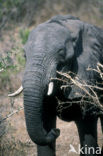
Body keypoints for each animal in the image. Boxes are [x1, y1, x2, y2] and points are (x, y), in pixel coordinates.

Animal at [11, 14, 103, 156]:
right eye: (25, 55)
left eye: (61, 52)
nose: (57, 131)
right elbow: (45, 119)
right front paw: (49, 128)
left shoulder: (89, 75)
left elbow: (87, 124)